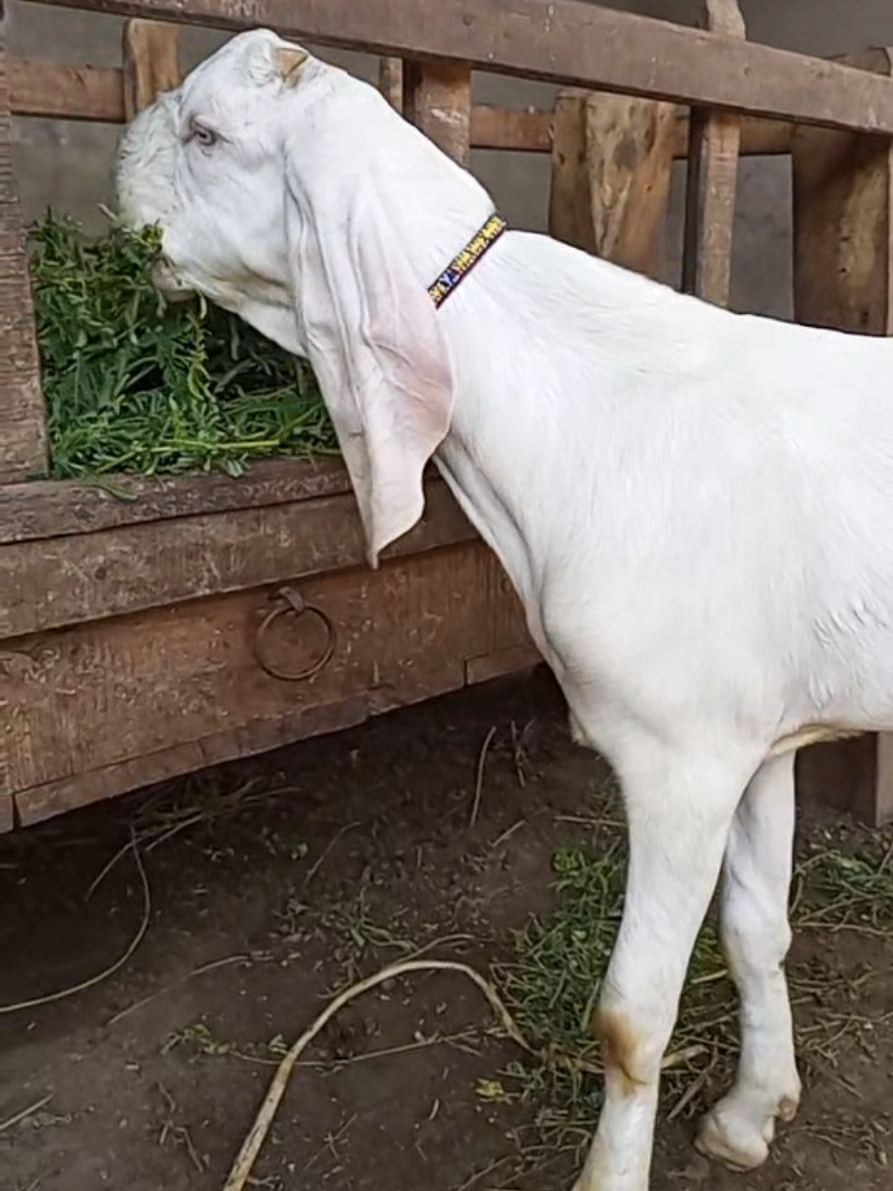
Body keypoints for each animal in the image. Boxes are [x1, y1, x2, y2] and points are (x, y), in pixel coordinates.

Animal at [115, 28, 893, 1191]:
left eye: (206, 132)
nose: (118, 151)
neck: (578, 407)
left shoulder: (678, 758)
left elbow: (629, 1018)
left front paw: (610, 1171)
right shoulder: (754, 736)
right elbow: (757, 928)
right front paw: (751, 1113)